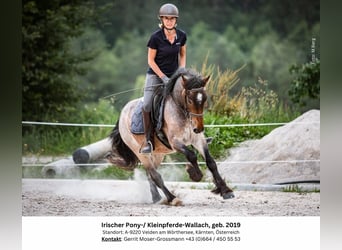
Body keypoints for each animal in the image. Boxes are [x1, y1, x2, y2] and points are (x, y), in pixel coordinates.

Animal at [107, 68, 235, 205]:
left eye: (205, 99)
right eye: (190, 100)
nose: (198, 128)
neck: (182, 112)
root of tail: (122, 113)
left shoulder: (198, 140)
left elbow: (211, 162)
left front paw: (226, 191)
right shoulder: (175, 142)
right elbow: (191, 155)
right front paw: (195, 174)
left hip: (158, 154)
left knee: (150, 174)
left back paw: (157, 198)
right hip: (140, 152)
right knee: (155, 175)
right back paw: (172, 198)